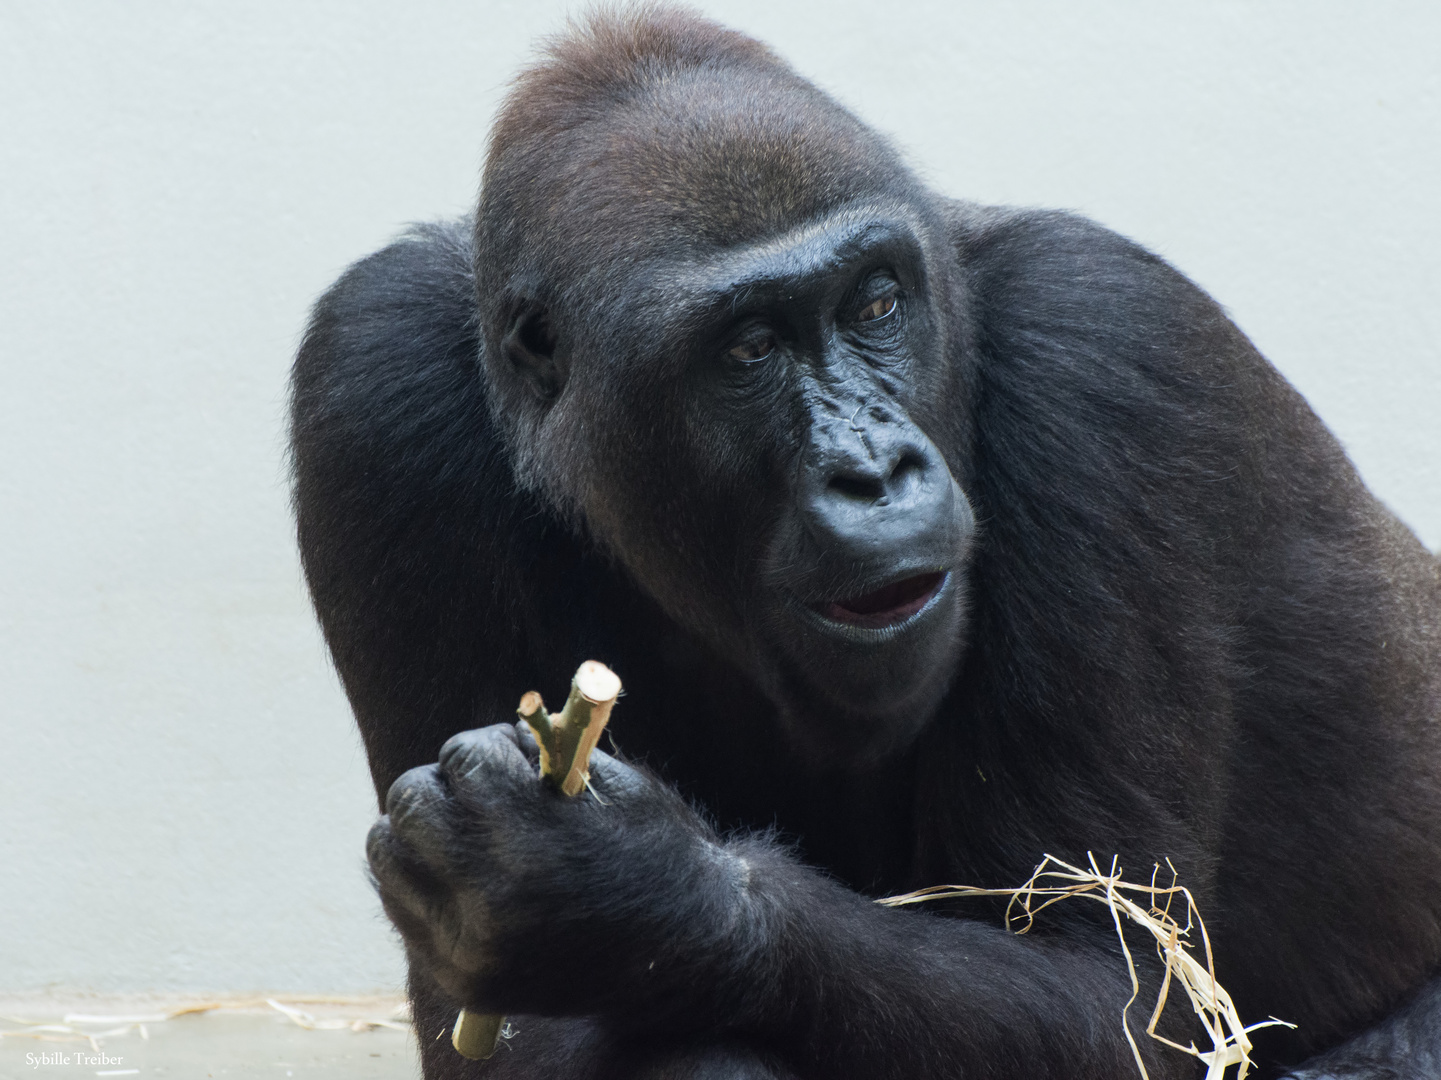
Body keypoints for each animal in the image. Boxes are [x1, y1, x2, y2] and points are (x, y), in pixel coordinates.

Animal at [289, 8, 1441, 1078]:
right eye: (747, 349)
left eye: (876, 303)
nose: (875, 471)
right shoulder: (371, 374)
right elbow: (500, 1029)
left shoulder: (1104, 347)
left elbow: (1111, 984)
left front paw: (616, 894)